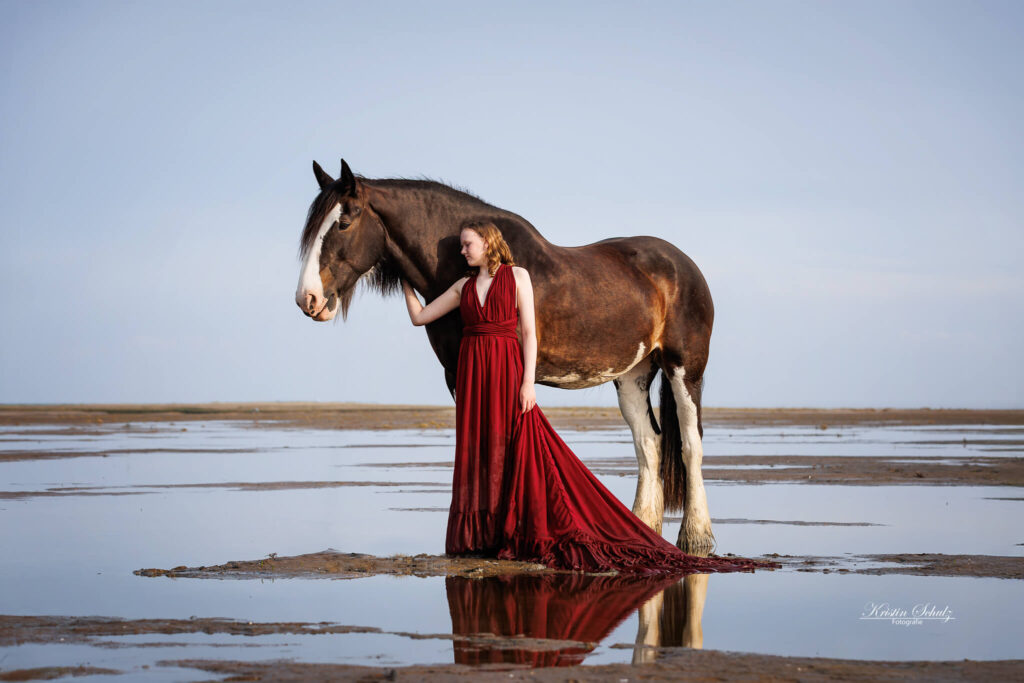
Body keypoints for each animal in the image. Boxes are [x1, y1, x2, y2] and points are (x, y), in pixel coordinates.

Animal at [295, 159, 717, 553]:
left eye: (343, 223)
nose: (308, 299)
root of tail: (683, 265)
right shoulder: (456, 373)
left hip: (685, 369)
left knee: (690, 445)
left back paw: (695, 537)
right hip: (632, 375)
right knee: (649, 443)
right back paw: (641, 530)